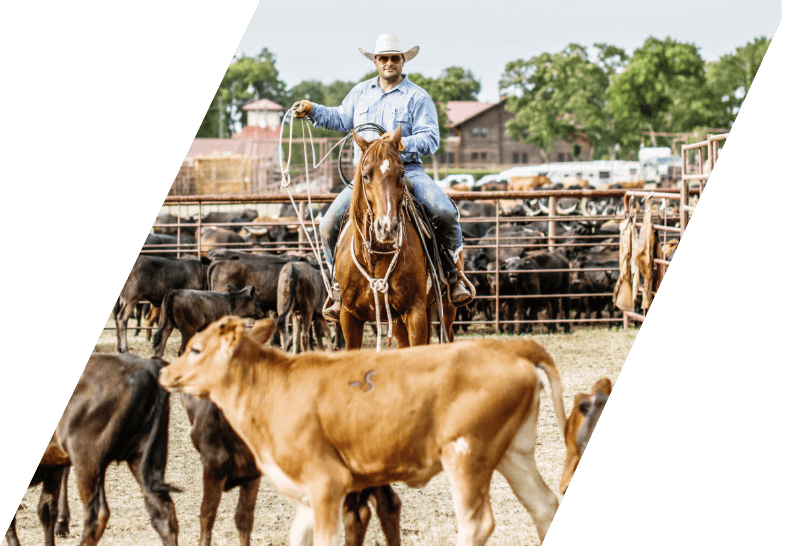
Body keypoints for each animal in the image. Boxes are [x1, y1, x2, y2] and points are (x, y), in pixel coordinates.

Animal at [6, 354, 179, 544]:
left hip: (88, 462)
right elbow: (47, 510)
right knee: (163, 512)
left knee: (97, 515)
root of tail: (147, 367)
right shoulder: (54, 465)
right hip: (145, 459)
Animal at [336, 127, 458, 352]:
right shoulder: (349, 315)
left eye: (401, 174)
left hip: (446, 307)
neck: (376, 256)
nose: (387, 227)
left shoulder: (415, 312)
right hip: (397, 318)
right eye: (365, 176)